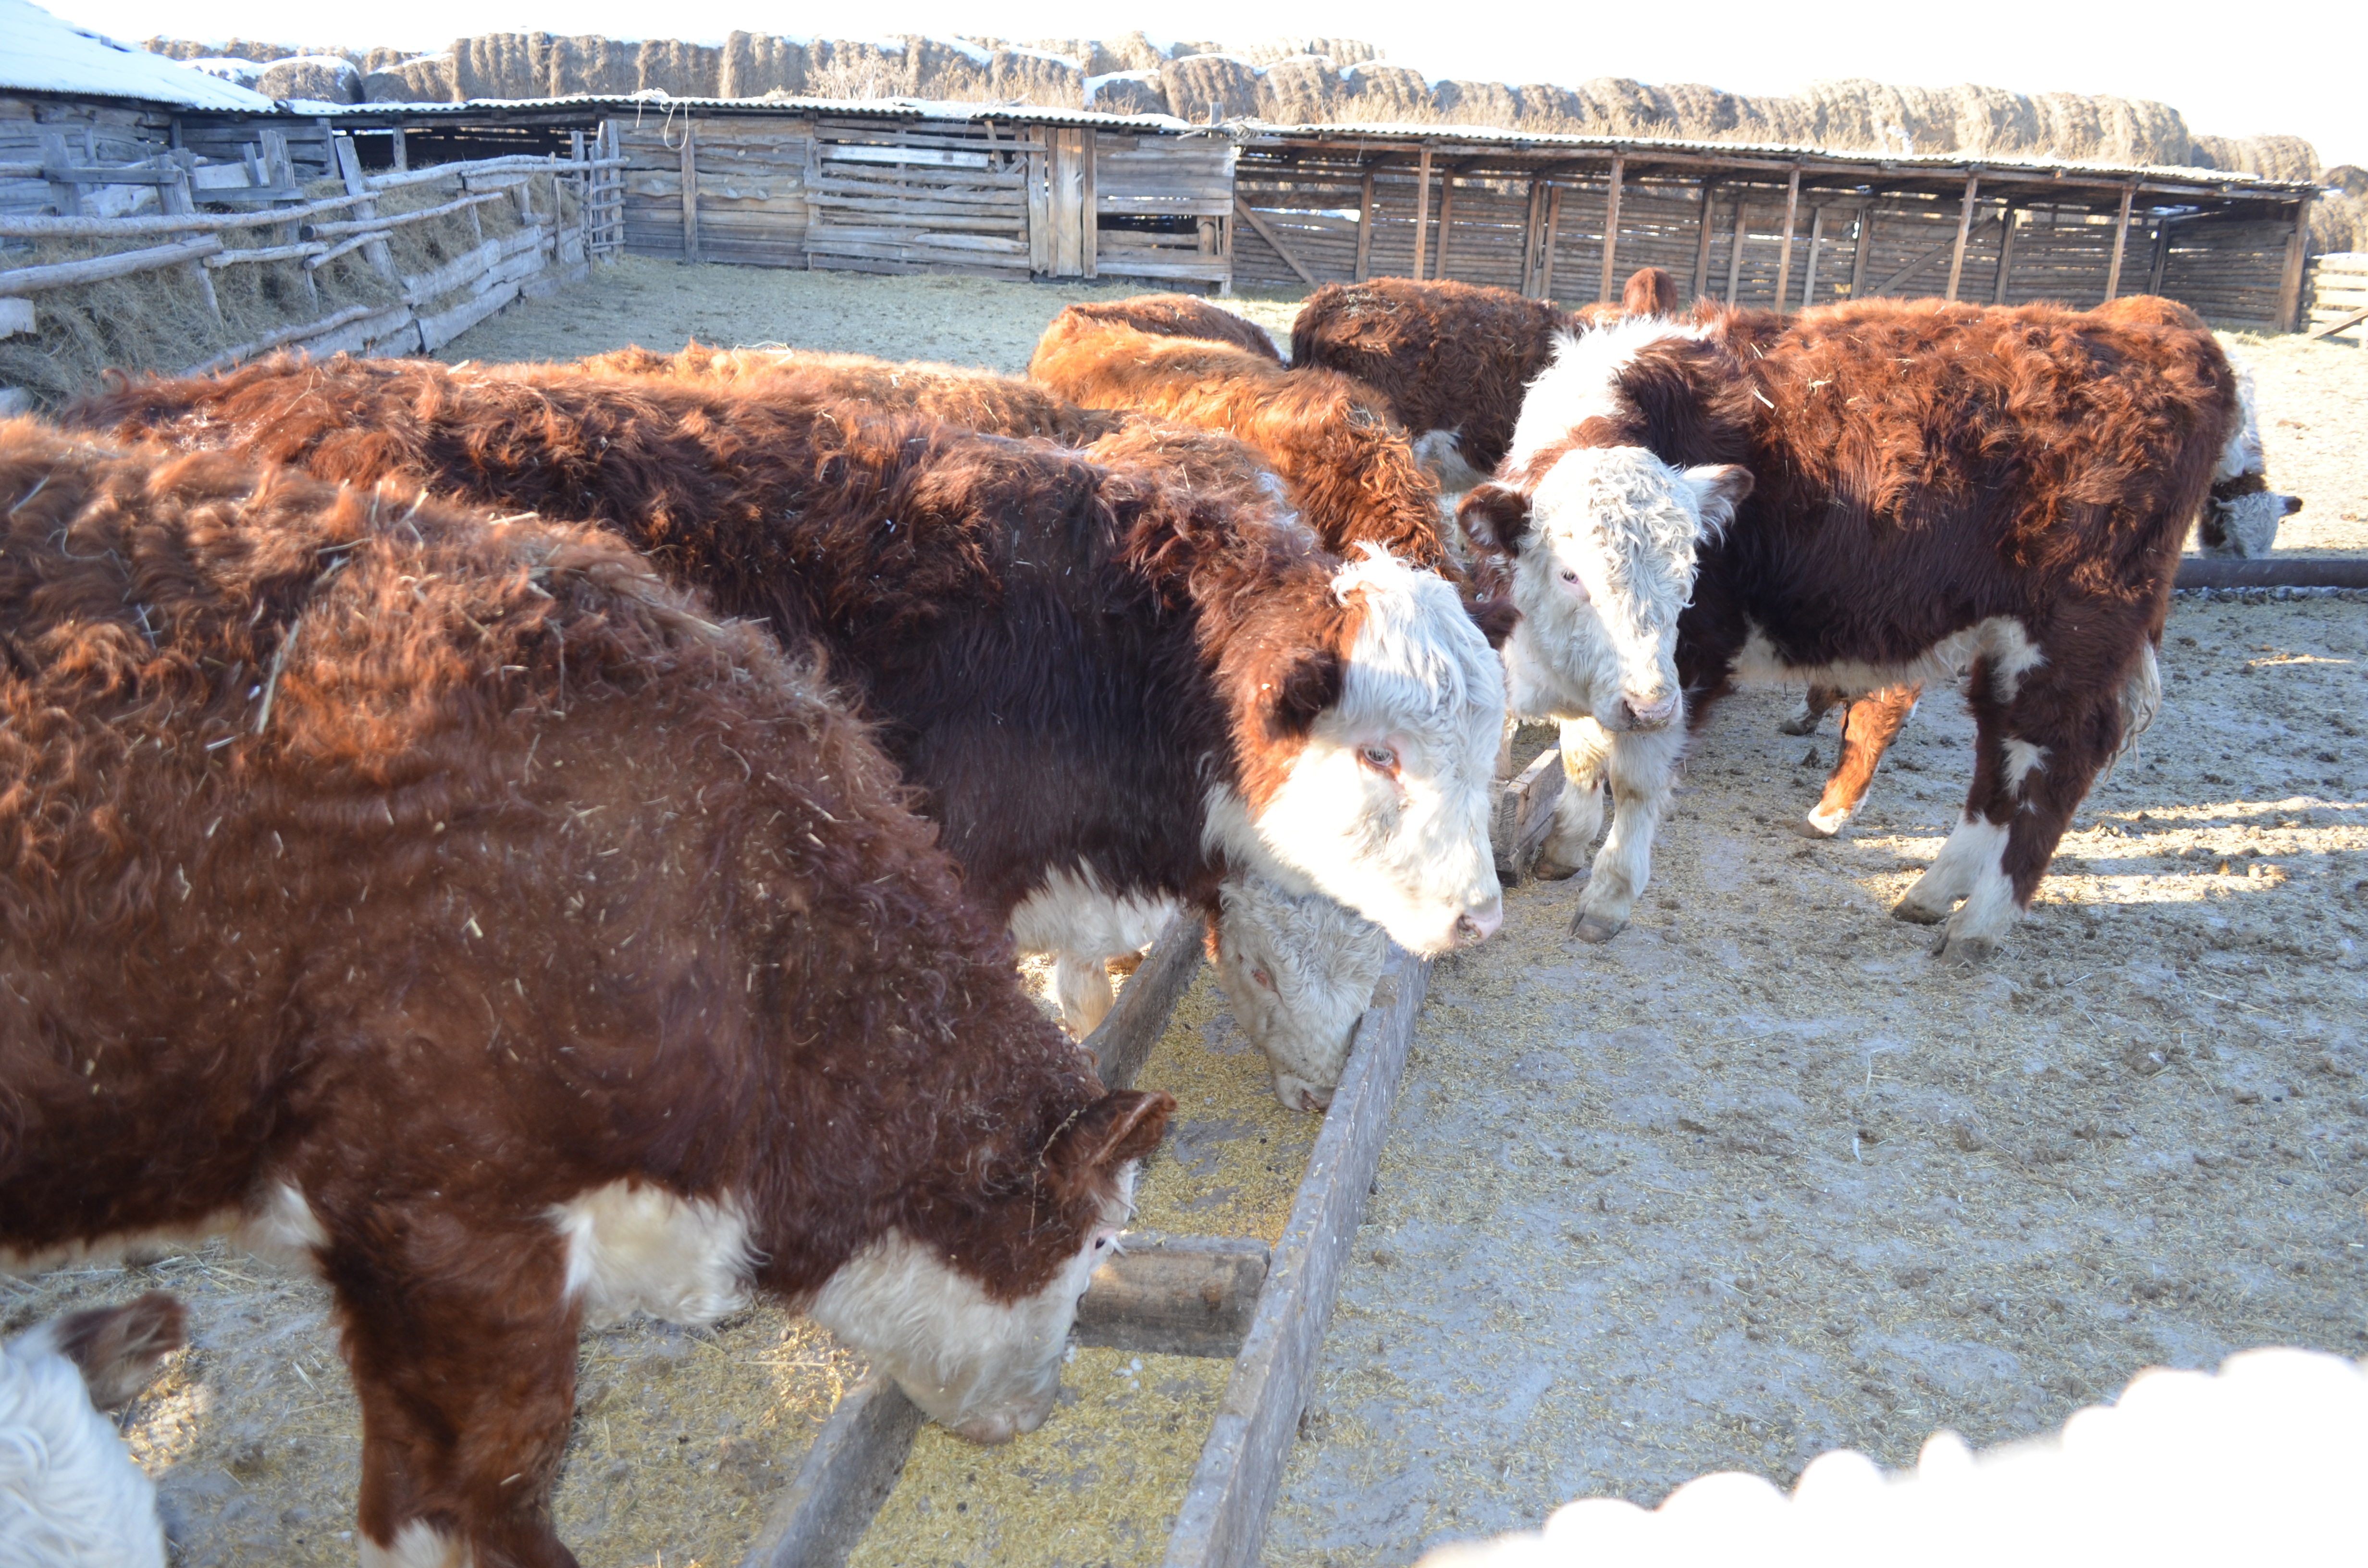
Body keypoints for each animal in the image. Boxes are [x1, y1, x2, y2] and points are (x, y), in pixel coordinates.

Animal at [1458, 294, 2235, 956]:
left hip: (2069, 639)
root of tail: (2153, 325)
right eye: (1572, 575)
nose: (1649, 705)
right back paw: (1932, 893)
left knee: (2054, 762)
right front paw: (1564, 848)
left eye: (1690, 575)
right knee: (1999, 761)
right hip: (2007, 646)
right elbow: (1581, 749)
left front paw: (1608, 898)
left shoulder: (1690, 663)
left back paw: (1979, 925)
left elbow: (1634, 780)